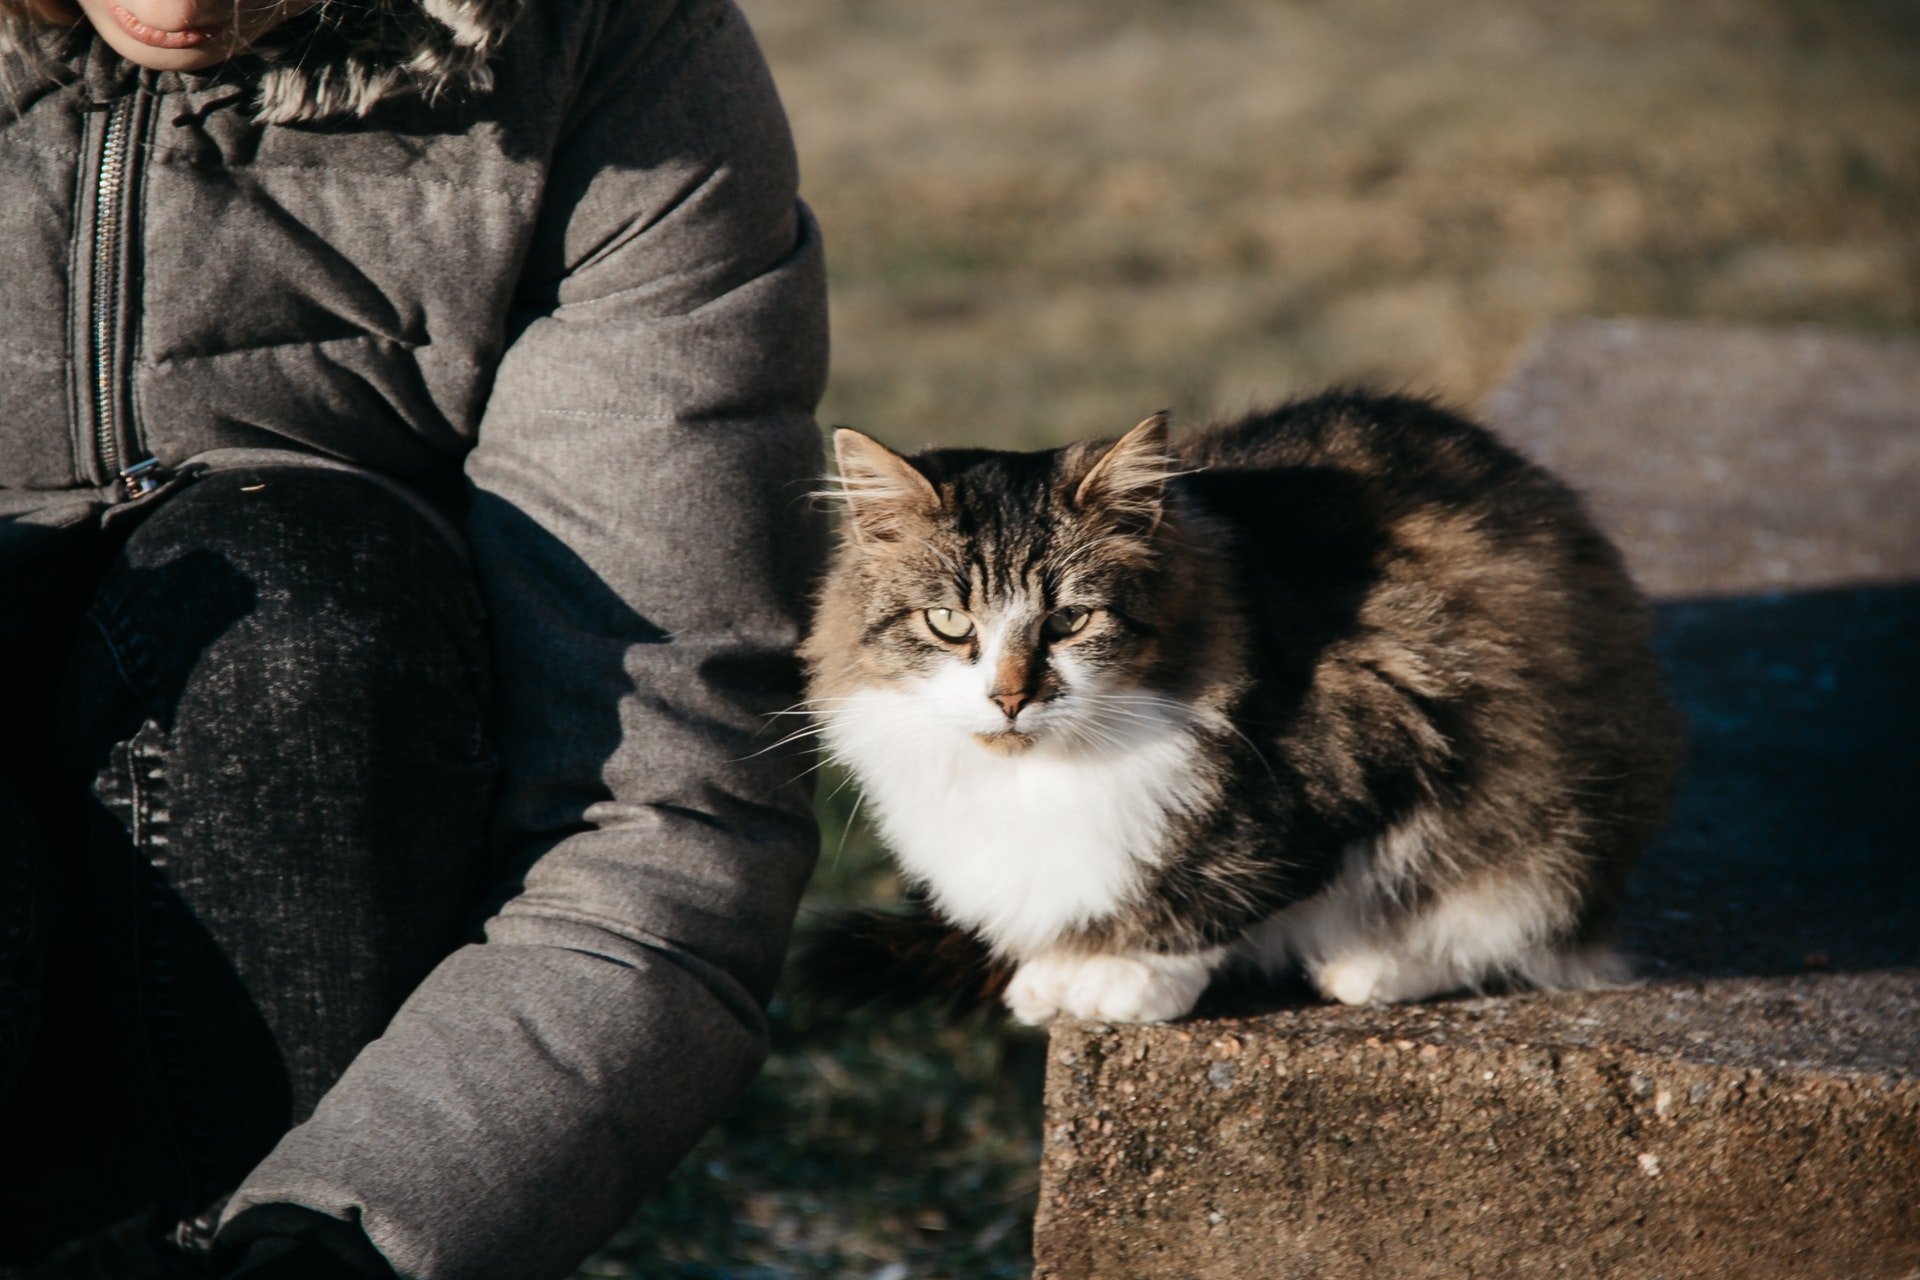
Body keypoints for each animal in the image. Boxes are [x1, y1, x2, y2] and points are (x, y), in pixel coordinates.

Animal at [794, 395, 1681, 1028]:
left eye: (1070, 620)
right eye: (950, 623)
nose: (1011, 696)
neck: (1034, 777)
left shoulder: (1367, 740)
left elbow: (1221, 885)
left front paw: (1122, 976)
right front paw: (1061, 971)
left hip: (1554, 825)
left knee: (1510, 919)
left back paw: (1374, 964)